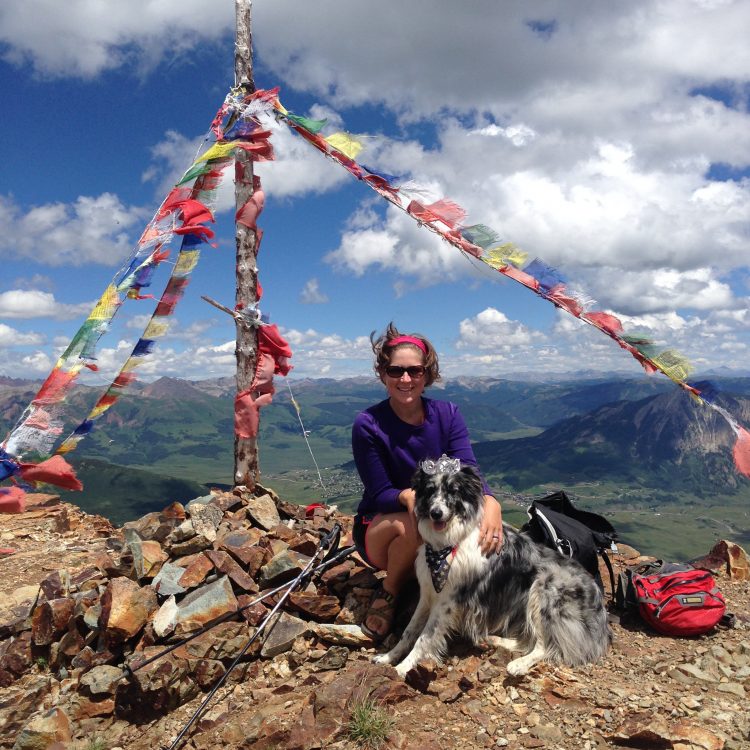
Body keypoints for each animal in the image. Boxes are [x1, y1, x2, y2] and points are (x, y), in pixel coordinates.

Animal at [374, 458, 612, 680]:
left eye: (453, 491)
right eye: (431, 490)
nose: (436, 513)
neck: (448, 543)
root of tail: (597, 599)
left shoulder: (447, 602)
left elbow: (424, 637)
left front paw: (403, 667)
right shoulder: (428, 594)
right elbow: (409, 630)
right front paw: (388, 657)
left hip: (543, 592)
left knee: (547, 644)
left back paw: (518, 664)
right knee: (528, 639)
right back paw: (493, 639)